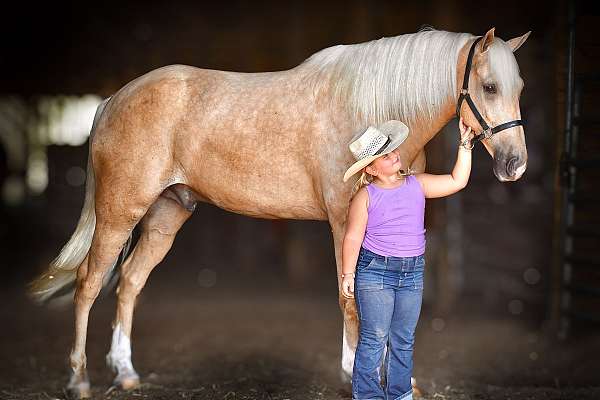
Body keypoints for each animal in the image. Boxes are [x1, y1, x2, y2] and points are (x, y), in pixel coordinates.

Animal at [30, 26, 528, 398]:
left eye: (519, 87)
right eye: (488, 86)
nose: (515, 164)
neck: (374, 108)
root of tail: (111, 102)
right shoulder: (345, 219)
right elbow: (352, 298)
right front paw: (354, 374)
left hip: (165, 214)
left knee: (130, 282)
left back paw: (126, 373)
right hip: (119, 212)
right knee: (88, 284)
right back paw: (79, 380)